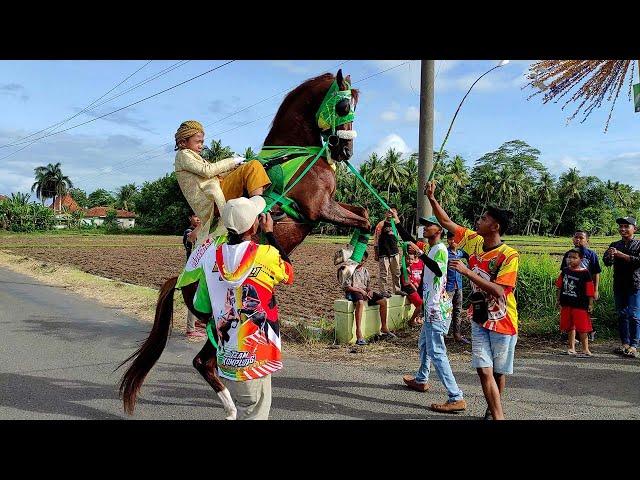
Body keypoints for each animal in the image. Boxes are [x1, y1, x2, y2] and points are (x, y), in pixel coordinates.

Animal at [117, 67, 370, 416]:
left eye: (356, 106)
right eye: (344, 106)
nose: (344, 152)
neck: (294, 155)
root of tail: (180, 281)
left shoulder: (329, 207)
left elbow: (366, 212)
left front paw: (350, 258)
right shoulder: (319, 209)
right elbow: (366, 219)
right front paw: (349, 263)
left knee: (205, 363)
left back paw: (231, 406)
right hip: (221, 322)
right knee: (205, 362)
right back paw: (234, 407)